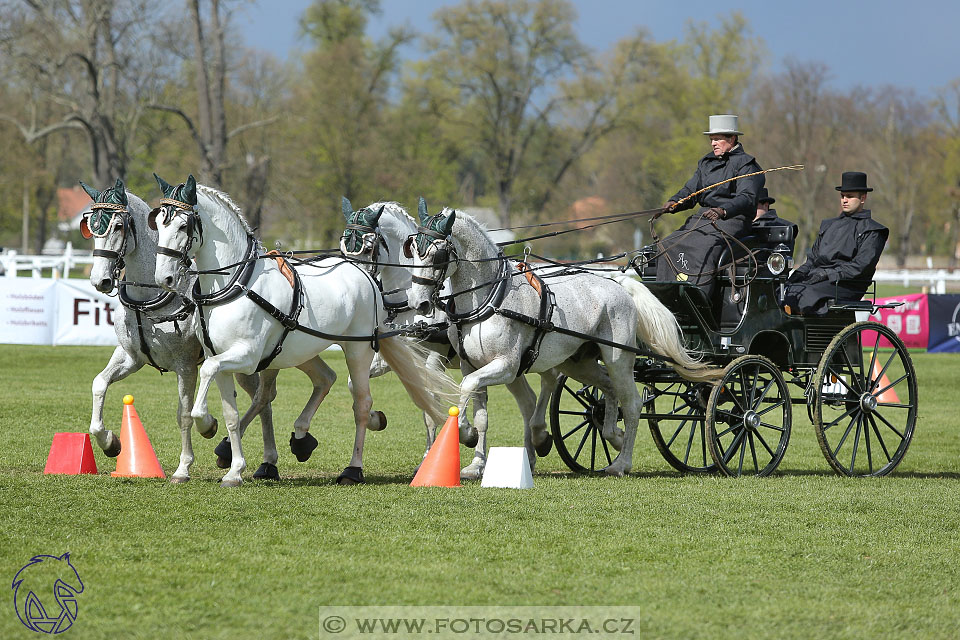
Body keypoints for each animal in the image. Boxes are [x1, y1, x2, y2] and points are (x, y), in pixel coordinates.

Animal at [79, 178, 278, 482]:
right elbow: (99, 384)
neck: (149, 297)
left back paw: (264, 461)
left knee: (263, 399)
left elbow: (184, 413)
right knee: (259, 398)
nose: (99, 280)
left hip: (251, 362)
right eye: (91, 227)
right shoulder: (130, 358)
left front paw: (185, 464)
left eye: (119, 226)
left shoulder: (185, 366)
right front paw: (109, 441)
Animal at [151, 175, 458, 484]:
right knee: (325, 379)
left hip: (357, 349)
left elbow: (208, 372)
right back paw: (301, 439)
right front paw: (235, 469)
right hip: (302, 350)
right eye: (159, 225)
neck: (235, 285)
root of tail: (366, 276)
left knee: (361, 404)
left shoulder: (246, 356)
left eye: (183, 226)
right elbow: (231, 415)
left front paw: (206, 424)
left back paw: (353, 468)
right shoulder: (223, 358)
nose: (164, 278)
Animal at [338, 200, 552, 480]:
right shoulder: (397, 359)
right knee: (527, 401)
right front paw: (378, 420)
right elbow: (355, 384)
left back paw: (542, 437)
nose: (356, 288)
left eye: (368, 247)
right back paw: (530, 456)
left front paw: (449, 444)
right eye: (343, 248)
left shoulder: (434, 361)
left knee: (551, 381)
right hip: (512, 367)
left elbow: (431, 407)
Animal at [404, 201, 720, 476]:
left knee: (631, 403)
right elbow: (480, 412)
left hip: (617, 359)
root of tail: (618, 282)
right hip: (578, 363)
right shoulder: (472, 365)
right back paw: (612, 436)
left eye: (436, 255)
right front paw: (475, 463)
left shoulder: (506, 366)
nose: (418, 303)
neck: (488, 299)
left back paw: (621, 462)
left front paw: (463, 433)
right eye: (413, 252)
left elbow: (466, 387)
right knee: (607, 389)